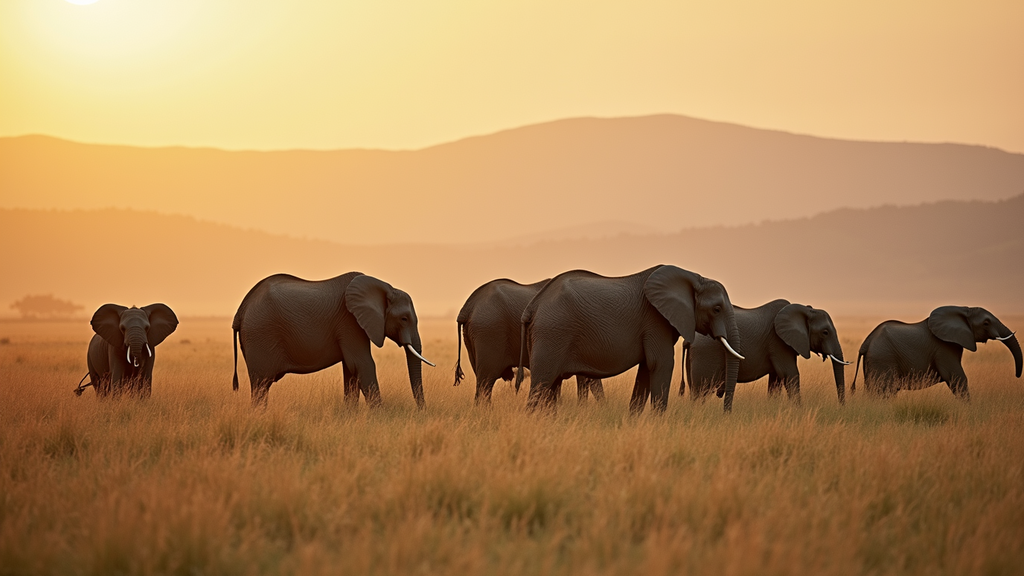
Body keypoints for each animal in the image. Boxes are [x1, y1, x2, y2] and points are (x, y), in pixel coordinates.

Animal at [232, 272, 434, 408]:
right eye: (404, 319)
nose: (421, 412)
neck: (384, 287)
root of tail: (240, 310)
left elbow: (351, 369)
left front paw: (350, 417)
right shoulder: (350, 321)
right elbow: (362, 364)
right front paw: (380, 418)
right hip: (260, 335)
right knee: (261, 385)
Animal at [516, 265, 744, 413]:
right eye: (717, 309)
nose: (726, 413)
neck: (694, 278)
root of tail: (532, 306)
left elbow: (646, 369)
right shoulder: (656, 320)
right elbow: (661, 364)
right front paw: (659, 425)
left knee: (551, 387)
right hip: (552, 333)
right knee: (541, 383)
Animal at [682, 300, 850, 404]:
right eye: (825, 332)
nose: (841, 406)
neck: (804, 310)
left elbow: (776, 380)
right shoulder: (778, 342)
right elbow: (790, 374)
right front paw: (798, 411)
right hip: (706, 354)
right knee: (701, 392)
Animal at [852, 306, 1021, 399]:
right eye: (986, 323)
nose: (1017, 376)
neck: (963, 309)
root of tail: (865, 343)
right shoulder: (944, 348)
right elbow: (957, 378)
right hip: (883, 358)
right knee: (885, 391)